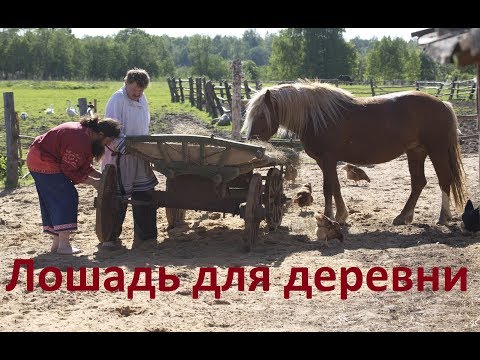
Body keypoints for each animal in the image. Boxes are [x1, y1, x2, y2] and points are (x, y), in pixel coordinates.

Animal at [242, 79, 466, 225]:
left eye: (261, 115)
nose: (251, 141)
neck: (316, 117)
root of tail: (443, 104)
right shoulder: (322, 162)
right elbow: (327, 188)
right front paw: (329, 215)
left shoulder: (329, 159)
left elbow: (335, 186)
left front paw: (340, 215)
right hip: (416, 152)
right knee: (419, 183)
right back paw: (403, 217)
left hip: (436, 151)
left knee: (444, 180)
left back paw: (443, 217)